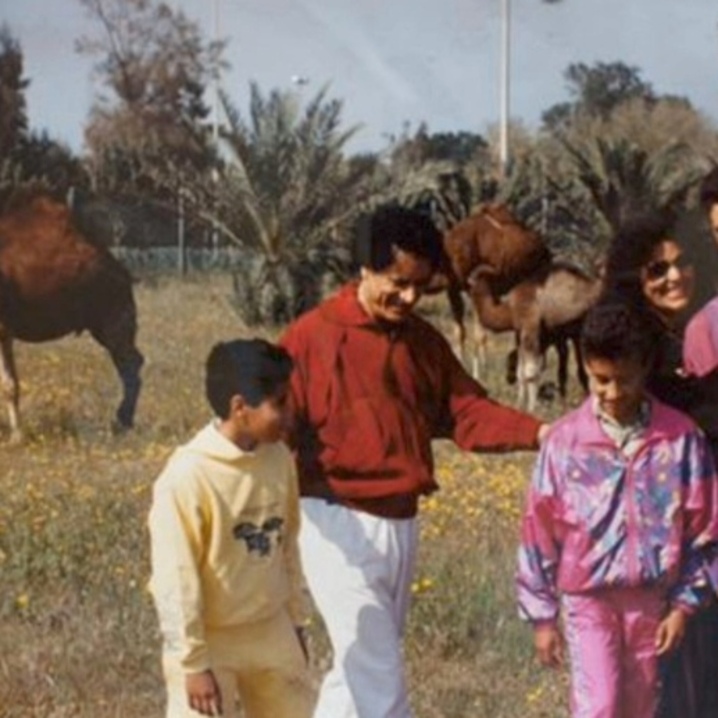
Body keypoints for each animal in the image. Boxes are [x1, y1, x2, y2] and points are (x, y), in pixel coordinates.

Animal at [0, 192, 143, 441]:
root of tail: (123, 272)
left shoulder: (3, 328)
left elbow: (9, 384)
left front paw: (17, 436)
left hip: (113, 316)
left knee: (131, 363)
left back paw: (121, 423)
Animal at [467, 261, 603, 411]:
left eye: (474, 280)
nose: (467, 285)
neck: (510, 309)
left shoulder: (531, 328)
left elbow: (530, 374)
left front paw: (532, 408)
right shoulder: (519, 333)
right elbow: (521, 372)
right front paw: (519, 404)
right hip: (576, 332)